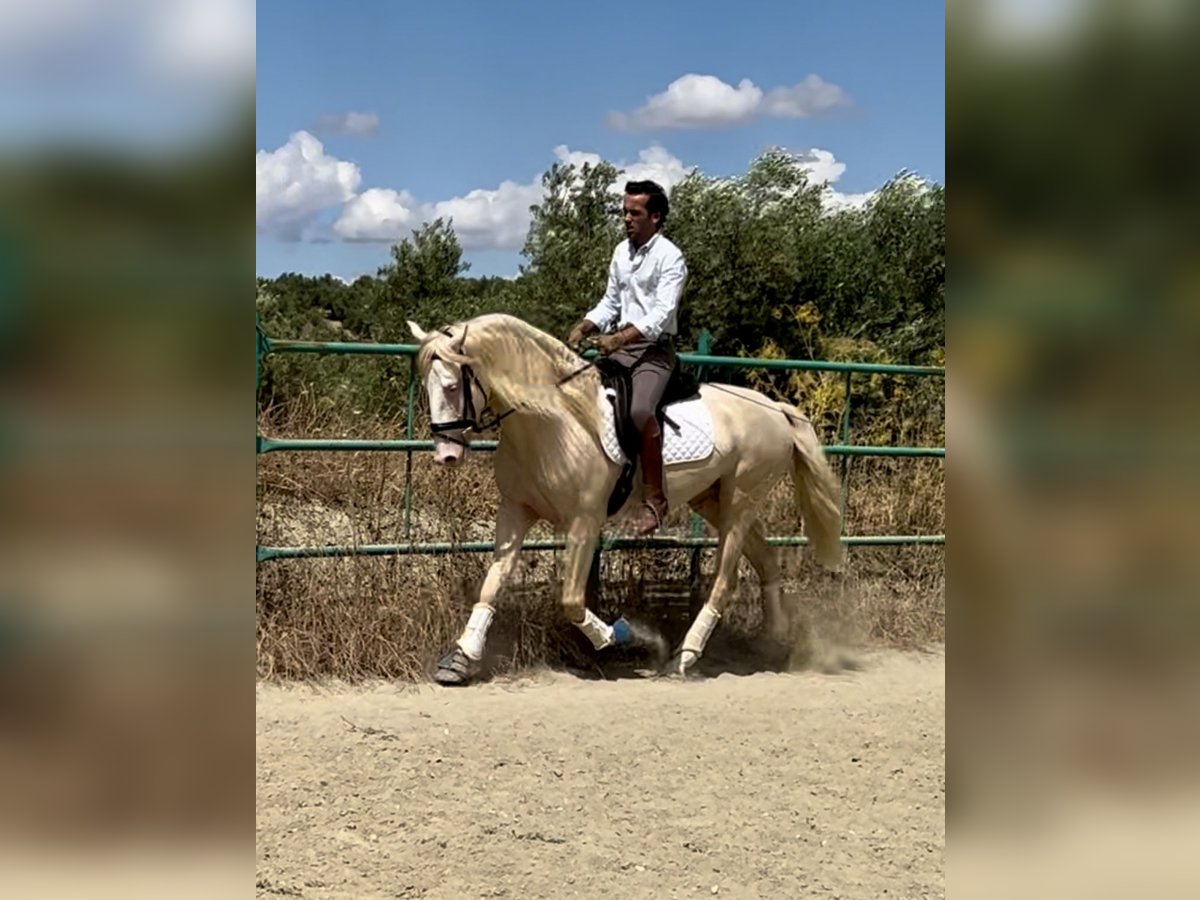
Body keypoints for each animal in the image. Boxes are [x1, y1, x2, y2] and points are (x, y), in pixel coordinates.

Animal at [408, 312, 840, 681]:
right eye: (427, 386)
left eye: (451, 386)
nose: (446, 454)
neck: (554, 422)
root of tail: (775, 409)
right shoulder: (515, 510)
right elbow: (492, 584)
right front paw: (461, 659)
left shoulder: (584, 522)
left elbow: (571, 600)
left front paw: (626, 636)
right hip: (713, 499)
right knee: (764, 561)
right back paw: (774, 642)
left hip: (742, 499)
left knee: (726, 579)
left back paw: (685, 656)